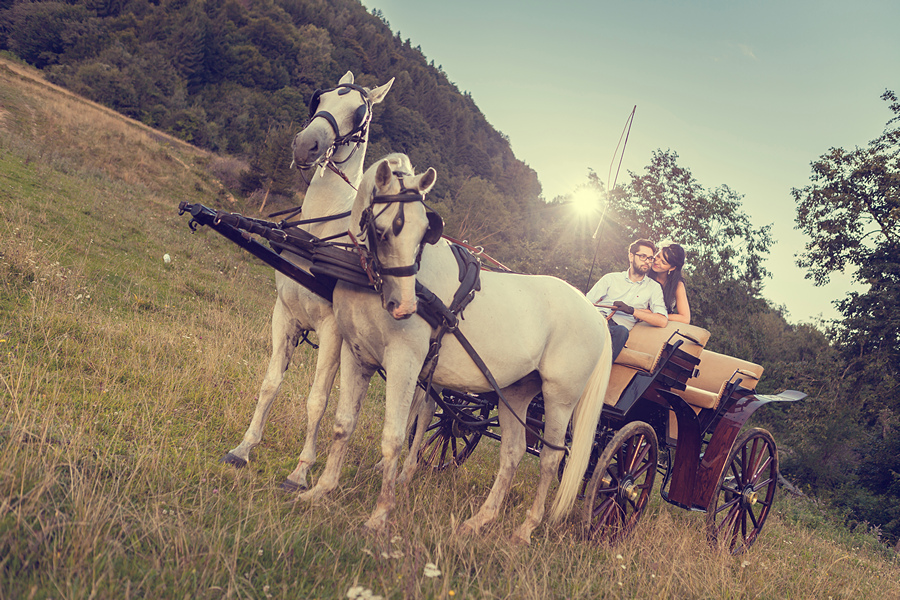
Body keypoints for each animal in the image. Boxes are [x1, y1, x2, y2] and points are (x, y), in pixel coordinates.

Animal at [220, 71, 392, 492]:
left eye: (359, 113)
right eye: (321, 98)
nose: (305, 144)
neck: (321, 234)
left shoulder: (333, 331)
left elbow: (317, 400)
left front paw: (300, 471)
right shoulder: (285, 315)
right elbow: (270, 383)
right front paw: (244, 448)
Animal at [306, 156, 616, 544]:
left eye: (424, 231)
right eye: (383, 231)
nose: (404, 306)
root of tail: (596, 313)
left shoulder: (404, 361)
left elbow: (394, 438)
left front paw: (379, 516)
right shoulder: (356, 353)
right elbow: (343, 424)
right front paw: (320, 490)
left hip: (560, 399)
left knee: (549, 459)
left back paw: (526, 529)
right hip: (515, 392)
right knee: (512, 453)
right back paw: (481, 520)